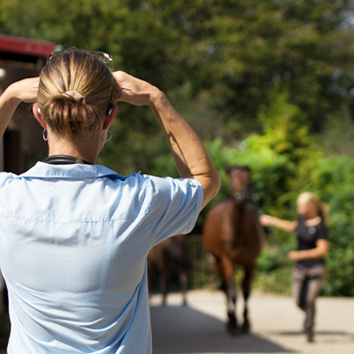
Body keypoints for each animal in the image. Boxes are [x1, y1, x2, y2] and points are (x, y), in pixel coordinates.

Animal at [203, 166, 264, 334]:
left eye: (249, 179)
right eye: (232, 179)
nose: (242, 195)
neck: (239, 230)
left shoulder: (250, 262)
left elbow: (246, 291)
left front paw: (246, 323)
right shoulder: (227, 260)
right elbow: (232, 291)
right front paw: (234, 323)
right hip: (218, 262)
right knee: (225, 288)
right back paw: (229, 319)